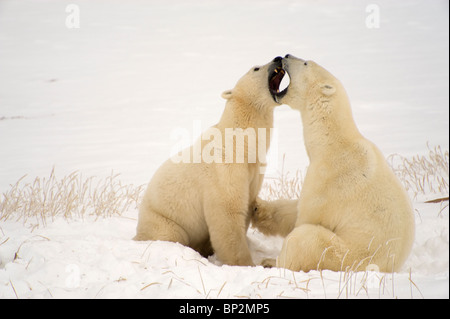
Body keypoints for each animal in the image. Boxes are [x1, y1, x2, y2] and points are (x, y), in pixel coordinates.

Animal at [134, 57, 288, 268]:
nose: (278, 58)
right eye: (256, 68)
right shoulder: (224, 169)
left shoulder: (254, 171)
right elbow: (228, 213)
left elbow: (247, 205)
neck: (240, 143)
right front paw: (245, 263)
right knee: (171, 234)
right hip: (162, 220)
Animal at [251, 55, 414, 272]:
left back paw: (270, 262)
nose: (285, 55)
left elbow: (305, 216)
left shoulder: (328, 181)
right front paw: (258, 208)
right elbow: (293, 208)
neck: (333, 142)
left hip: (341, 254)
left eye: (305, 63)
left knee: (305, 239)